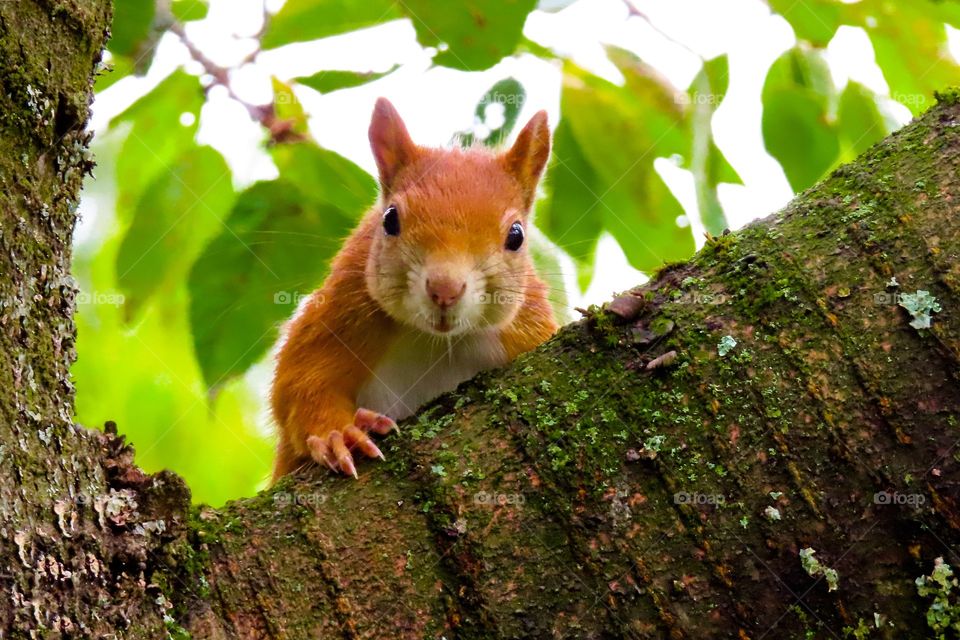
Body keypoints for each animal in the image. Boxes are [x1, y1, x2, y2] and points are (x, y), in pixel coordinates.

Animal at [270, 97, 558, 481]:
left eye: (517, 235)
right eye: (390, 218)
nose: (445, 289)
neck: (436, 341)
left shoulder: (527, 328)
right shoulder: (342, 308)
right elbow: (300, 384)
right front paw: (338, 434)